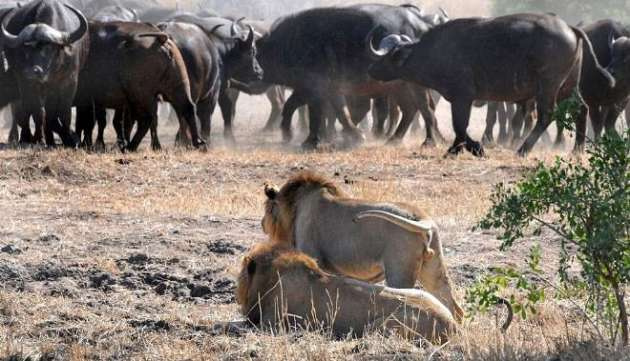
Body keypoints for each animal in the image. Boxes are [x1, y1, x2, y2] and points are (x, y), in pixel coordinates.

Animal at [262, 170, 464, 320]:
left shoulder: (313, 256)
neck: (294, 207)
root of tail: (421, 217)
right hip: (433, 268)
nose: (262, 223)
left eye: (267, 208)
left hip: (399, 271)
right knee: (454, 307)